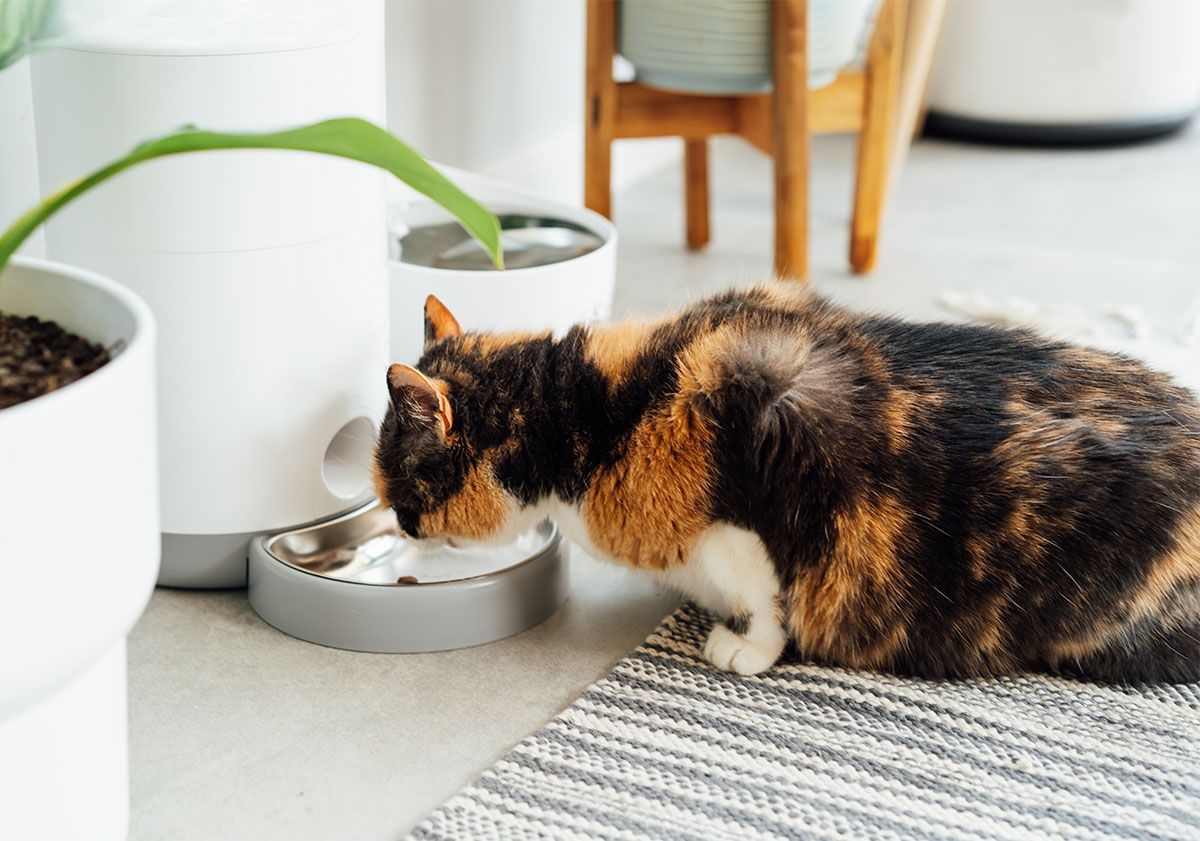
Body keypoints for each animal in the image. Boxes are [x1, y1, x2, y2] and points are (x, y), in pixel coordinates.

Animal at [374, 281, 1200, 681]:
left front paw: (746, 647)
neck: (584, 408)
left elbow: (768, 592)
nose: (396, 530)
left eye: (397, 490)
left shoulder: (746, 510)